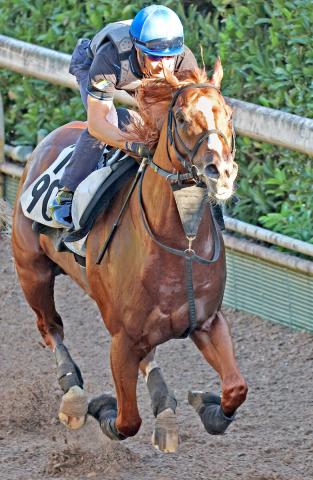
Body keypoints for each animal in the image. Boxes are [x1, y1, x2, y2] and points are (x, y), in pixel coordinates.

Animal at [11, 59, 246, 450]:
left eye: (227, 113)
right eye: (181, 117)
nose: (222, 172)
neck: (182, 244)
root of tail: (49, 139)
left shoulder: (208, 322)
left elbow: (236, 389)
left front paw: (207, 405)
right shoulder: (121, 340)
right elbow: (127, 420)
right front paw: (101, 408)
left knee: (148, 356)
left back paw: (164, 410)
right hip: (32, 271)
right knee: (50, 328)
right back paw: (73, 396)